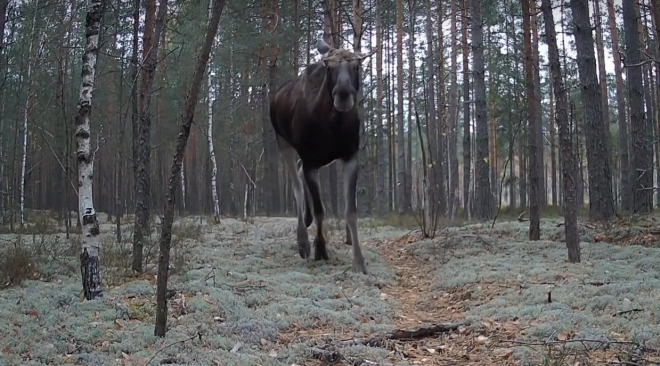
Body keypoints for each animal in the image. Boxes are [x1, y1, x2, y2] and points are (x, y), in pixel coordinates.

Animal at [268, 39, 372, 274]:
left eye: (356, 66)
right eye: (329, 68)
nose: (343, 94)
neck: (334, 124)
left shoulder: (350, 157)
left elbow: (350, 211)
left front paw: (359, 261)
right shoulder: (311, 162)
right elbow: (320, 210)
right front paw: (320, 248)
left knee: (298, 174)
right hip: (283, 142)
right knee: (297, 186)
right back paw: (302, 241)